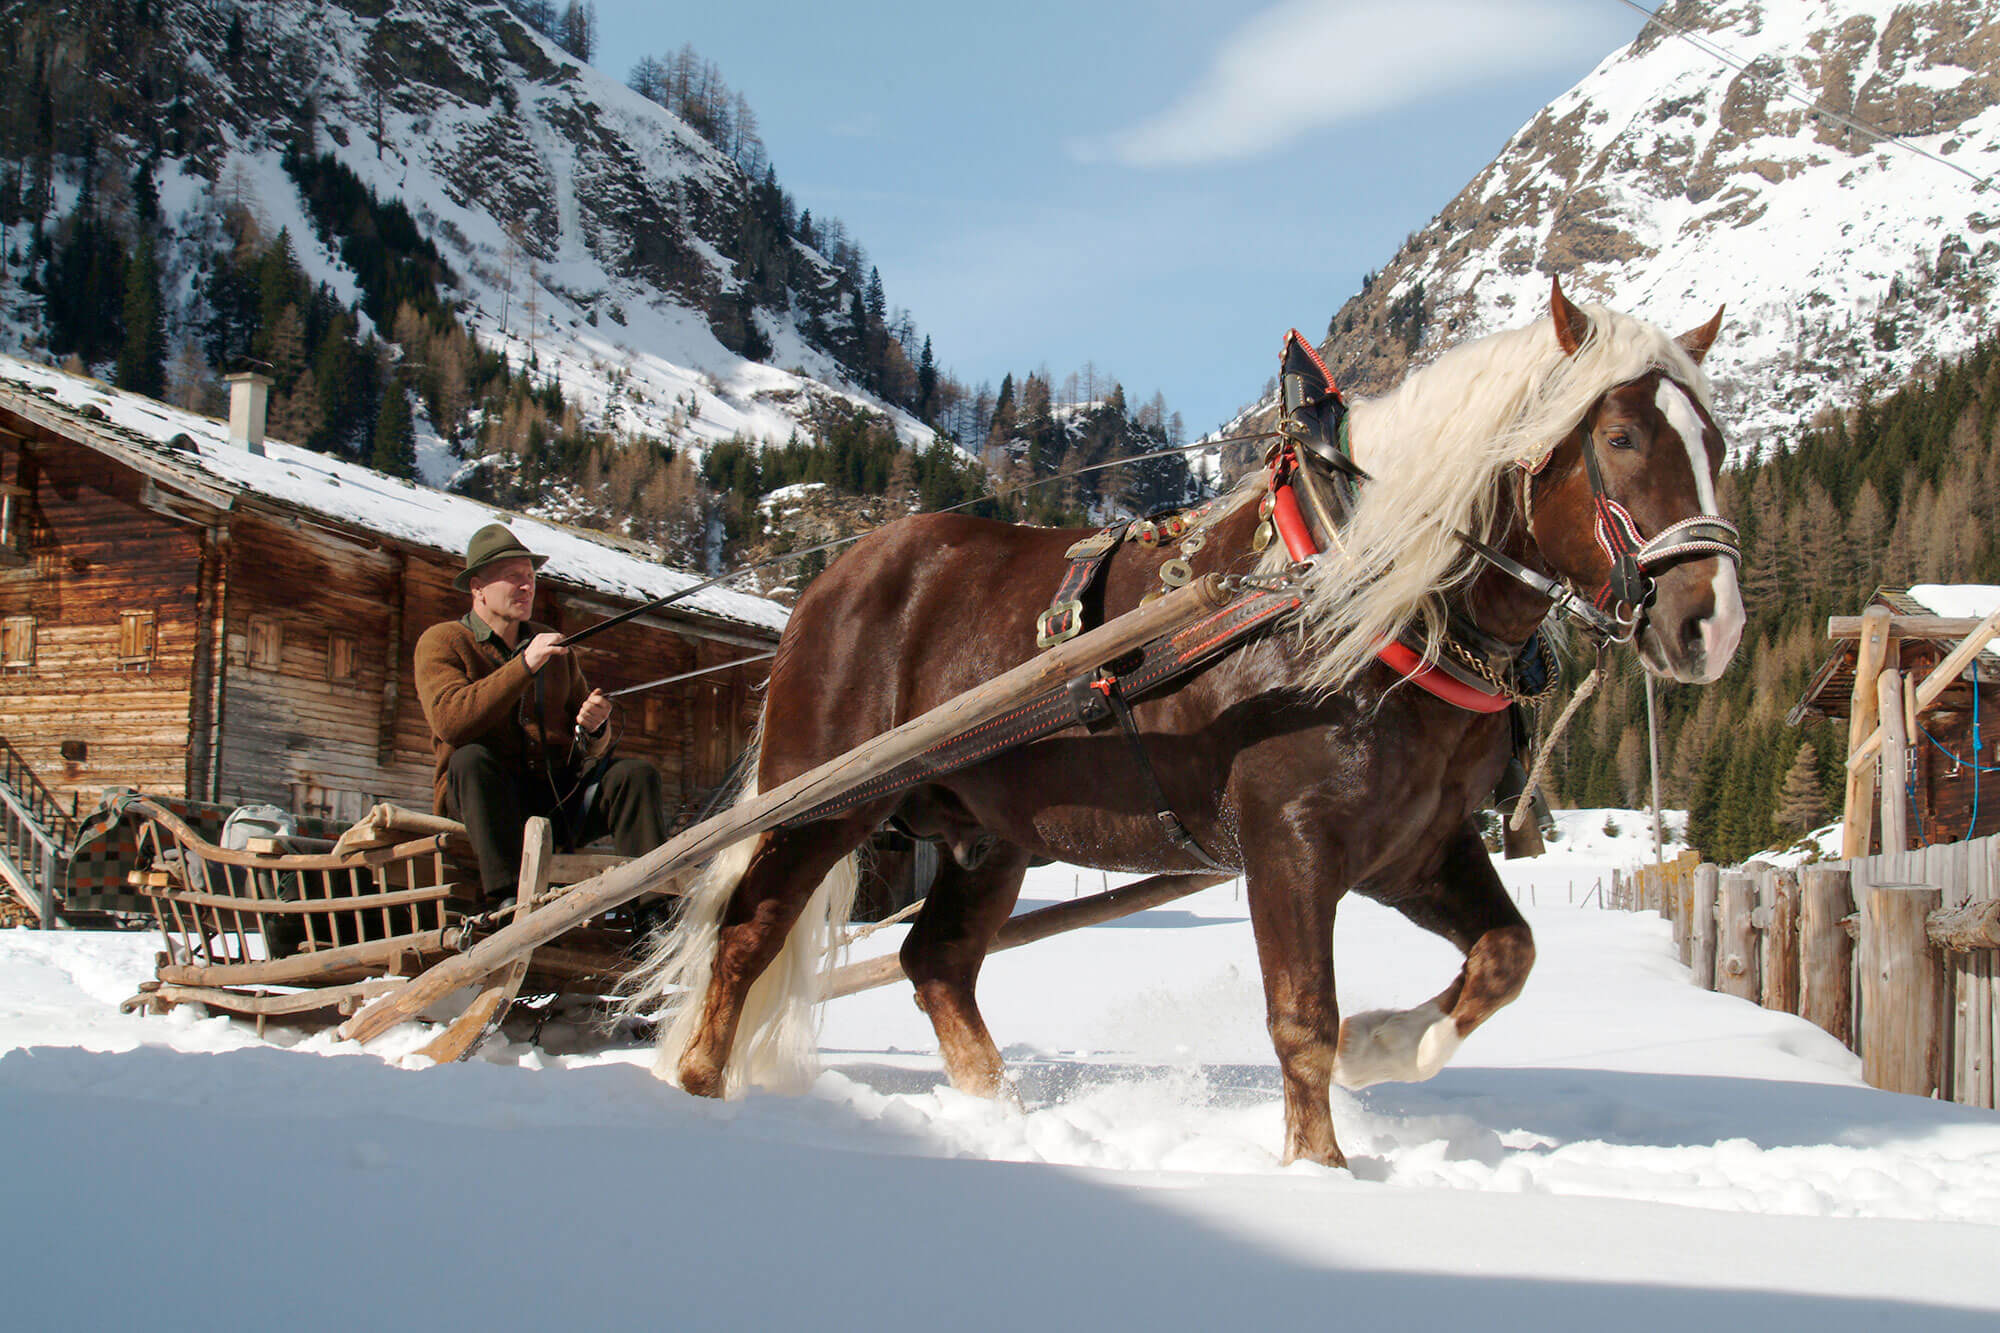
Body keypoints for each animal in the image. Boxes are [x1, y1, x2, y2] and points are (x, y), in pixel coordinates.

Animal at [632, 280, 1744, 1160]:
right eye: (1618, 437)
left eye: (1720, 444)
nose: (1712, 624)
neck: (1352, 596)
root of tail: (835, 581)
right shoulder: (1290, 842)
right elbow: (1300, 1019)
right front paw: (1320, 1170)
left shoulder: (1416, 849)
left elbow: (1506, 958)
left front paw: (1383, 1046)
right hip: (828, 797)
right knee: (748, 931)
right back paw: (698, 1093)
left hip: (989, 836)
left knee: (934, 962)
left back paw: (1005, 1120)